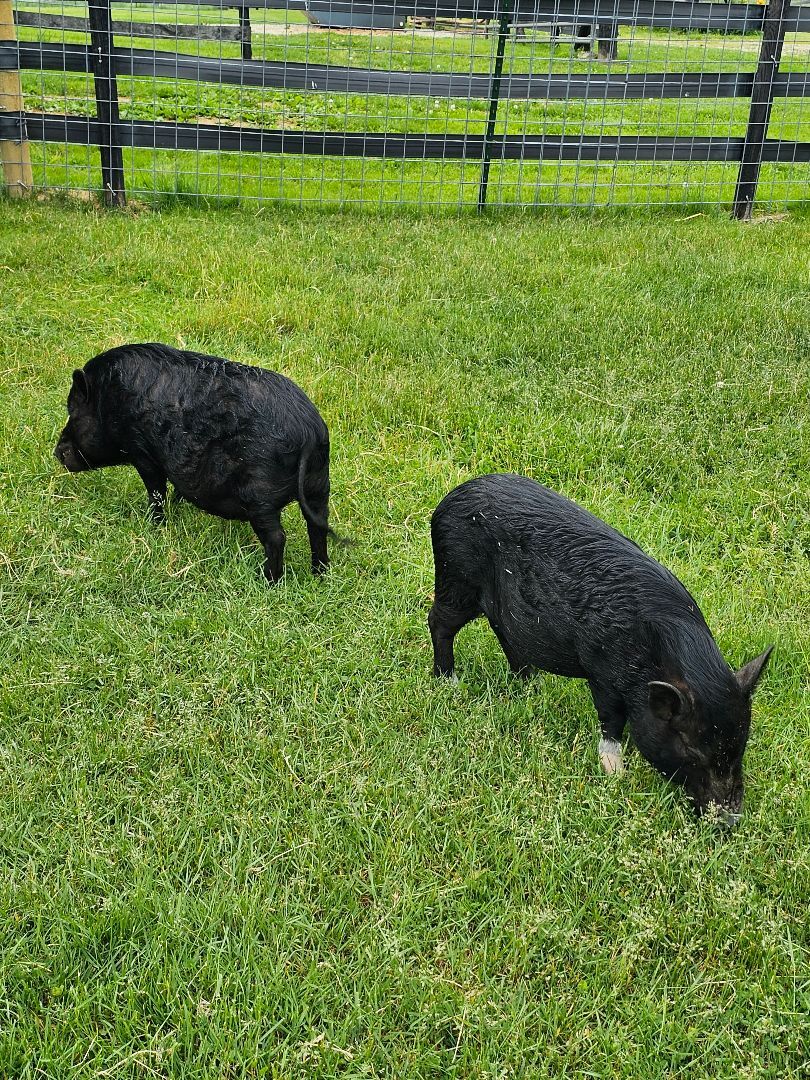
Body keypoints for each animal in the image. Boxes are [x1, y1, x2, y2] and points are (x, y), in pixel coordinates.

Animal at [55, 343, 339, 583]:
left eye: (73, 411)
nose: (57, 452)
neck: (109, 402)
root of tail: (309, 431)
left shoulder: (143, 453)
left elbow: (156, 491)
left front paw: (154, 524)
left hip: (260, 495)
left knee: (277, 537)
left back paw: (268, 581)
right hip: (319, 485)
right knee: (318, 526)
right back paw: (320, 574)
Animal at [428, 474, 772, 824]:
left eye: (740, 745)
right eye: (692, 748)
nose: (730, 821)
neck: (654, 657)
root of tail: (448, 501)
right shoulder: (602, 671)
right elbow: (611, 719)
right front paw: (615, 774)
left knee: (502, 630)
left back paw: (531, 683)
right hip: (456, 578)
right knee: (439, 621)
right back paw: (449, 682)